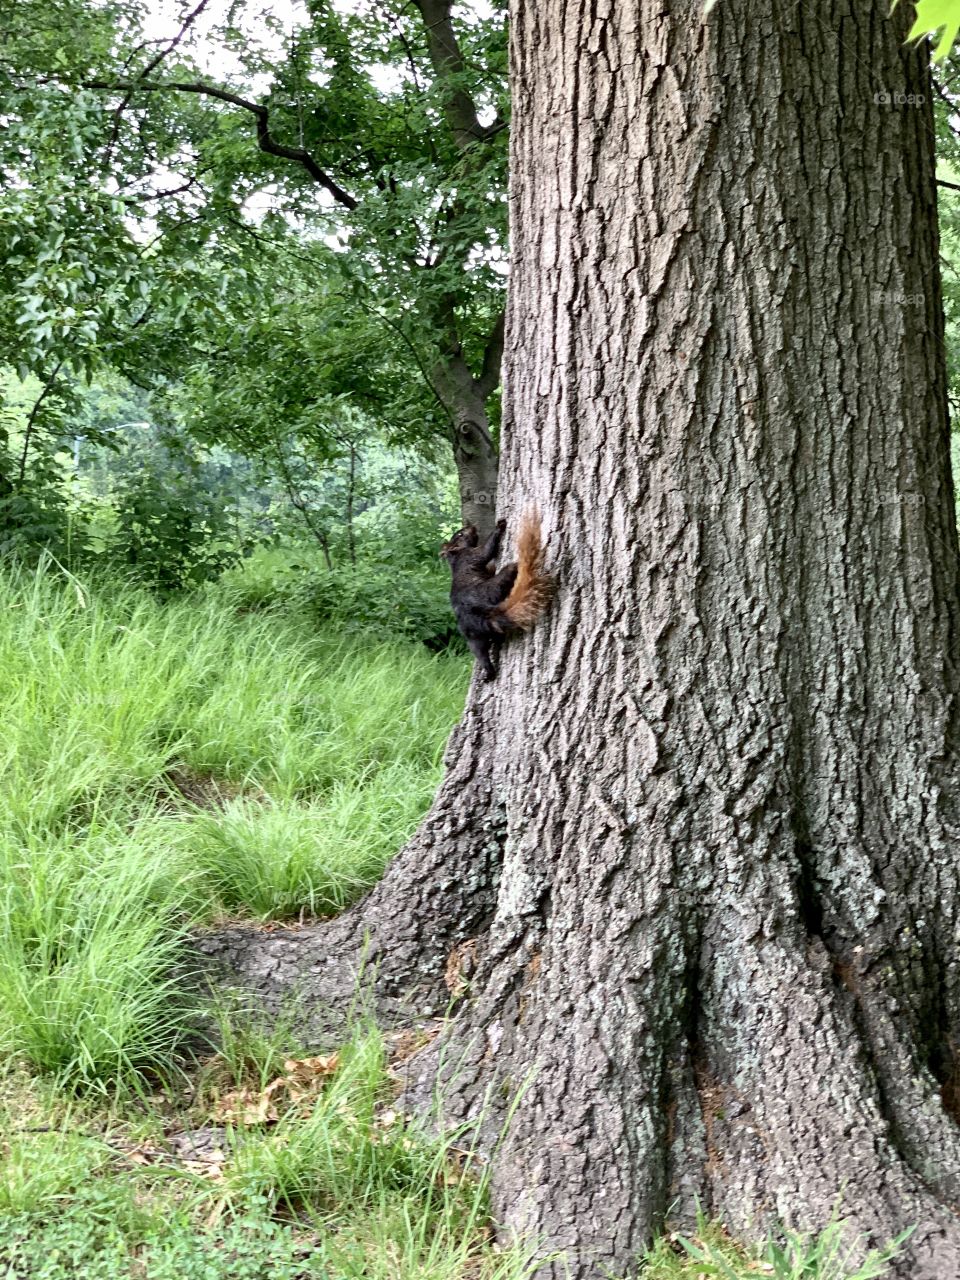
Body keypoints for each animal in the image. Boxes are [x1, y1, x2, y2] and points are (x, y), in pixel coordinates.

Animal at [440, 509, 552, 680]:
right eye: (460, 534)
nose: (471, 526)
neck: (455, 557)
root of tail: (482, 617)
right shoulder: (472, 555)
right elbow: (486, 551)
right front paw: (499, 526)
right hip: (489, 589)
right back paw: (514, 567)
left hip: (473, 638)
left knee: (481, 654)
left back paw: (489, 673)